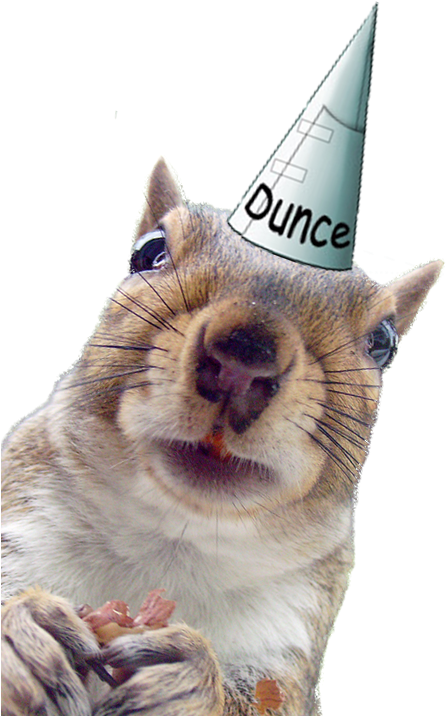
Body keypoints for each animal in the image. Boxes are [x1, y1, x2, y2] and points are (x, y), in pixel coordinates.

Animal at [1, 155, 443, 715]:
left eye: (382, 341)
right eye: (149, 253)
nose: (245, 355)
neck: (173, 539)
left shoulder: (287, 642)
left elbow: (262, 702)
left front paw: (190, 680)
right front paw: (21, 634)